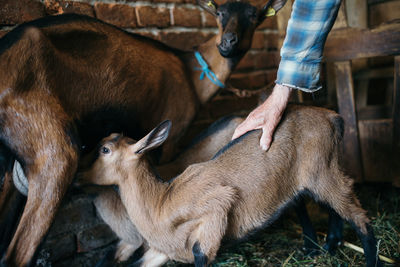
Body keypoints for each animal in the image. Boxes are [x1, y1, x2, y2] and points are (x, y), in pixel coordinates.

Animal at [0, 0, 288, 266]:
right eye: (219, 12)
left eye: (254, 15)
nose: (228, 42)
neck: (190, 73)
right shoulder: (172, 136)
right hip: (54, 151)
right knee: (17, 255)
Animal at [77, 106, 382, 267]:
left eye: (104, 149)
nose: (78, 174)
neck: (161, 201)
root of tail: (333, 117)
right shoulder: (160, 251)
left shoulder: (216, 208)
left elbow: (202, 252)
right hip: (314, 175)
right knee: (328, 207)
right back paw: (324, 246)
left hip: (322, 171)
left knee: (357, 215)